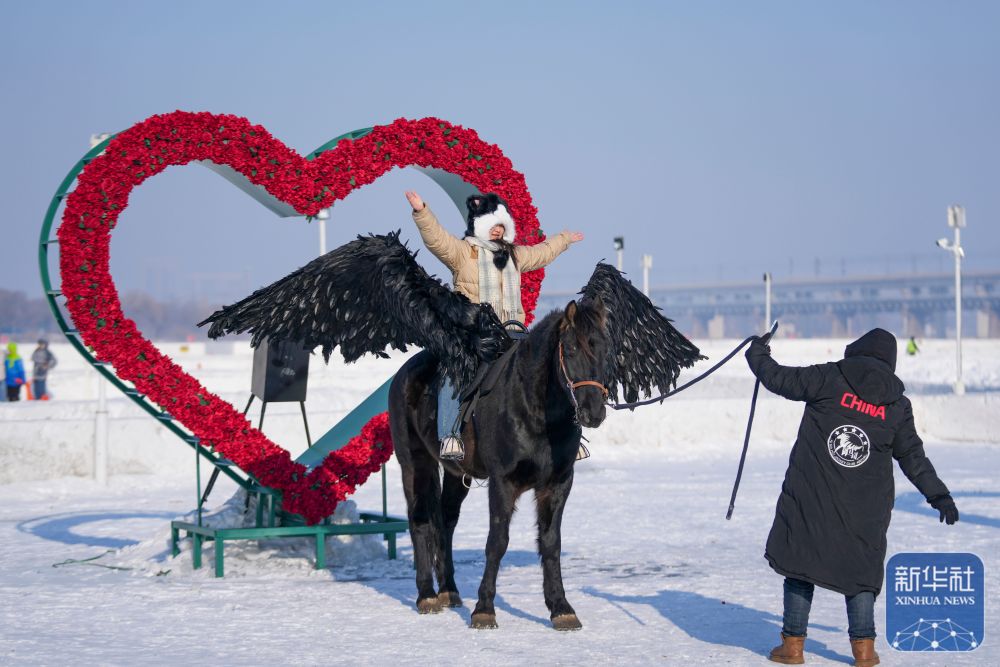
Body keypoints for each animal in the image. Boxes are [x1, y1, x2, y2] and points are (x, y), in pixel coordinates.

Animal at [389, 298, 610, 631]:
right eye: (571, 349)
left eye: (607, 349)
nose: (594, 411)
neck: (533, 410)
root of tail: (404, 374)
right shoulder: (503, 482)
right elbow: (497, 541)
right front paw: (484, 609)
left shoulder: (557, 484)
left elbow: (551, 543)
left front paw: (560, 608)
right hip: (415, 464)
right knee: (420, 521)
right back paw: (426, 594)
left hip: (455, 475)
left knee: (445, 522)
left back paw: (449, 590)